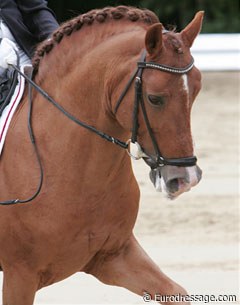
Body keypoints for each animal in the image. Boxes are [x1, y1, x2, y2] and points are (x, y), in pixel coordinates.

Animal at [0, 5, 203, 304]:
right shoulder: (20, 275)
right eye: (154, 98)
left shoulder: (114, 255)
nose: (185, 180)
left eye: (197, 89)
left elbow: (176, 293)